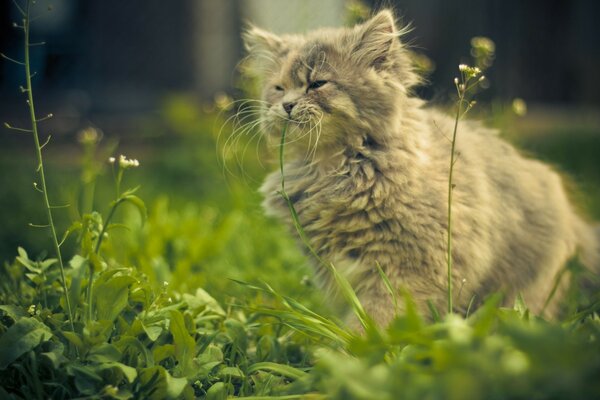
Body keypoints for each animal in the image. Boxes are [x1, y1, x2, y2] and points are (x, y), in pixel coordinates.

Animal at [240, 10, 600, 328]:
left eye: (317, 84)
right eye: (278, 88)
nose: (286, 105)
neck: (332, 169)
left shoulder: (411, 267)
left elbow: (379, 317)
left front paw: (357, 349)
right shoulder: (334, 268)